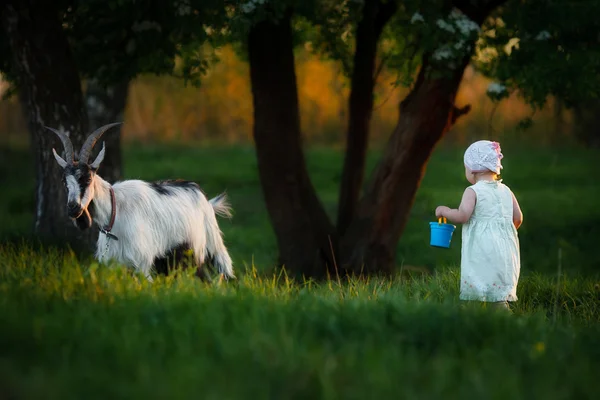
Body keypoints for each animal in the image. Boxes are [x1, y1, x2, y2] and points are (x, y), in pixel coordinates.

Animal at [47, 122, 234, 282]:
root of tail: (204, 197)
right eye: (64, 182)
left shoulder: (141, 262)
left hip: (209, 245)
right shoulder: (115, 263)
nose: (73, 209)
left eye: (87, 179)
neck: (114, 211)